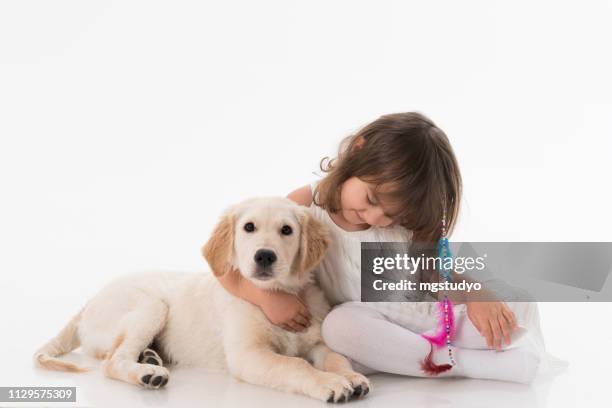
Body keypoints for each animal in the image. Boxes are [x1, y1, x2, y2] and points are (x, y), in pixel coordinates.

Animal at [34, 197, 368, 402]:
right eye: (249, 227)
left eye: (287, 230)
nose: (264, 256)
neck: (275, 294)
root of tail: (89, 301)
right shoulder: (248, 355)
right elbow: (295, 365)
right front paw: (329, 383)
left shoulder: (317, 343)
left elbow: (335, 358)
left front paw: (351, 376)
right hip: (151, 306)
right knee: (111, 361)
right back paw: (148, 373)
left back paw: (150, 357)